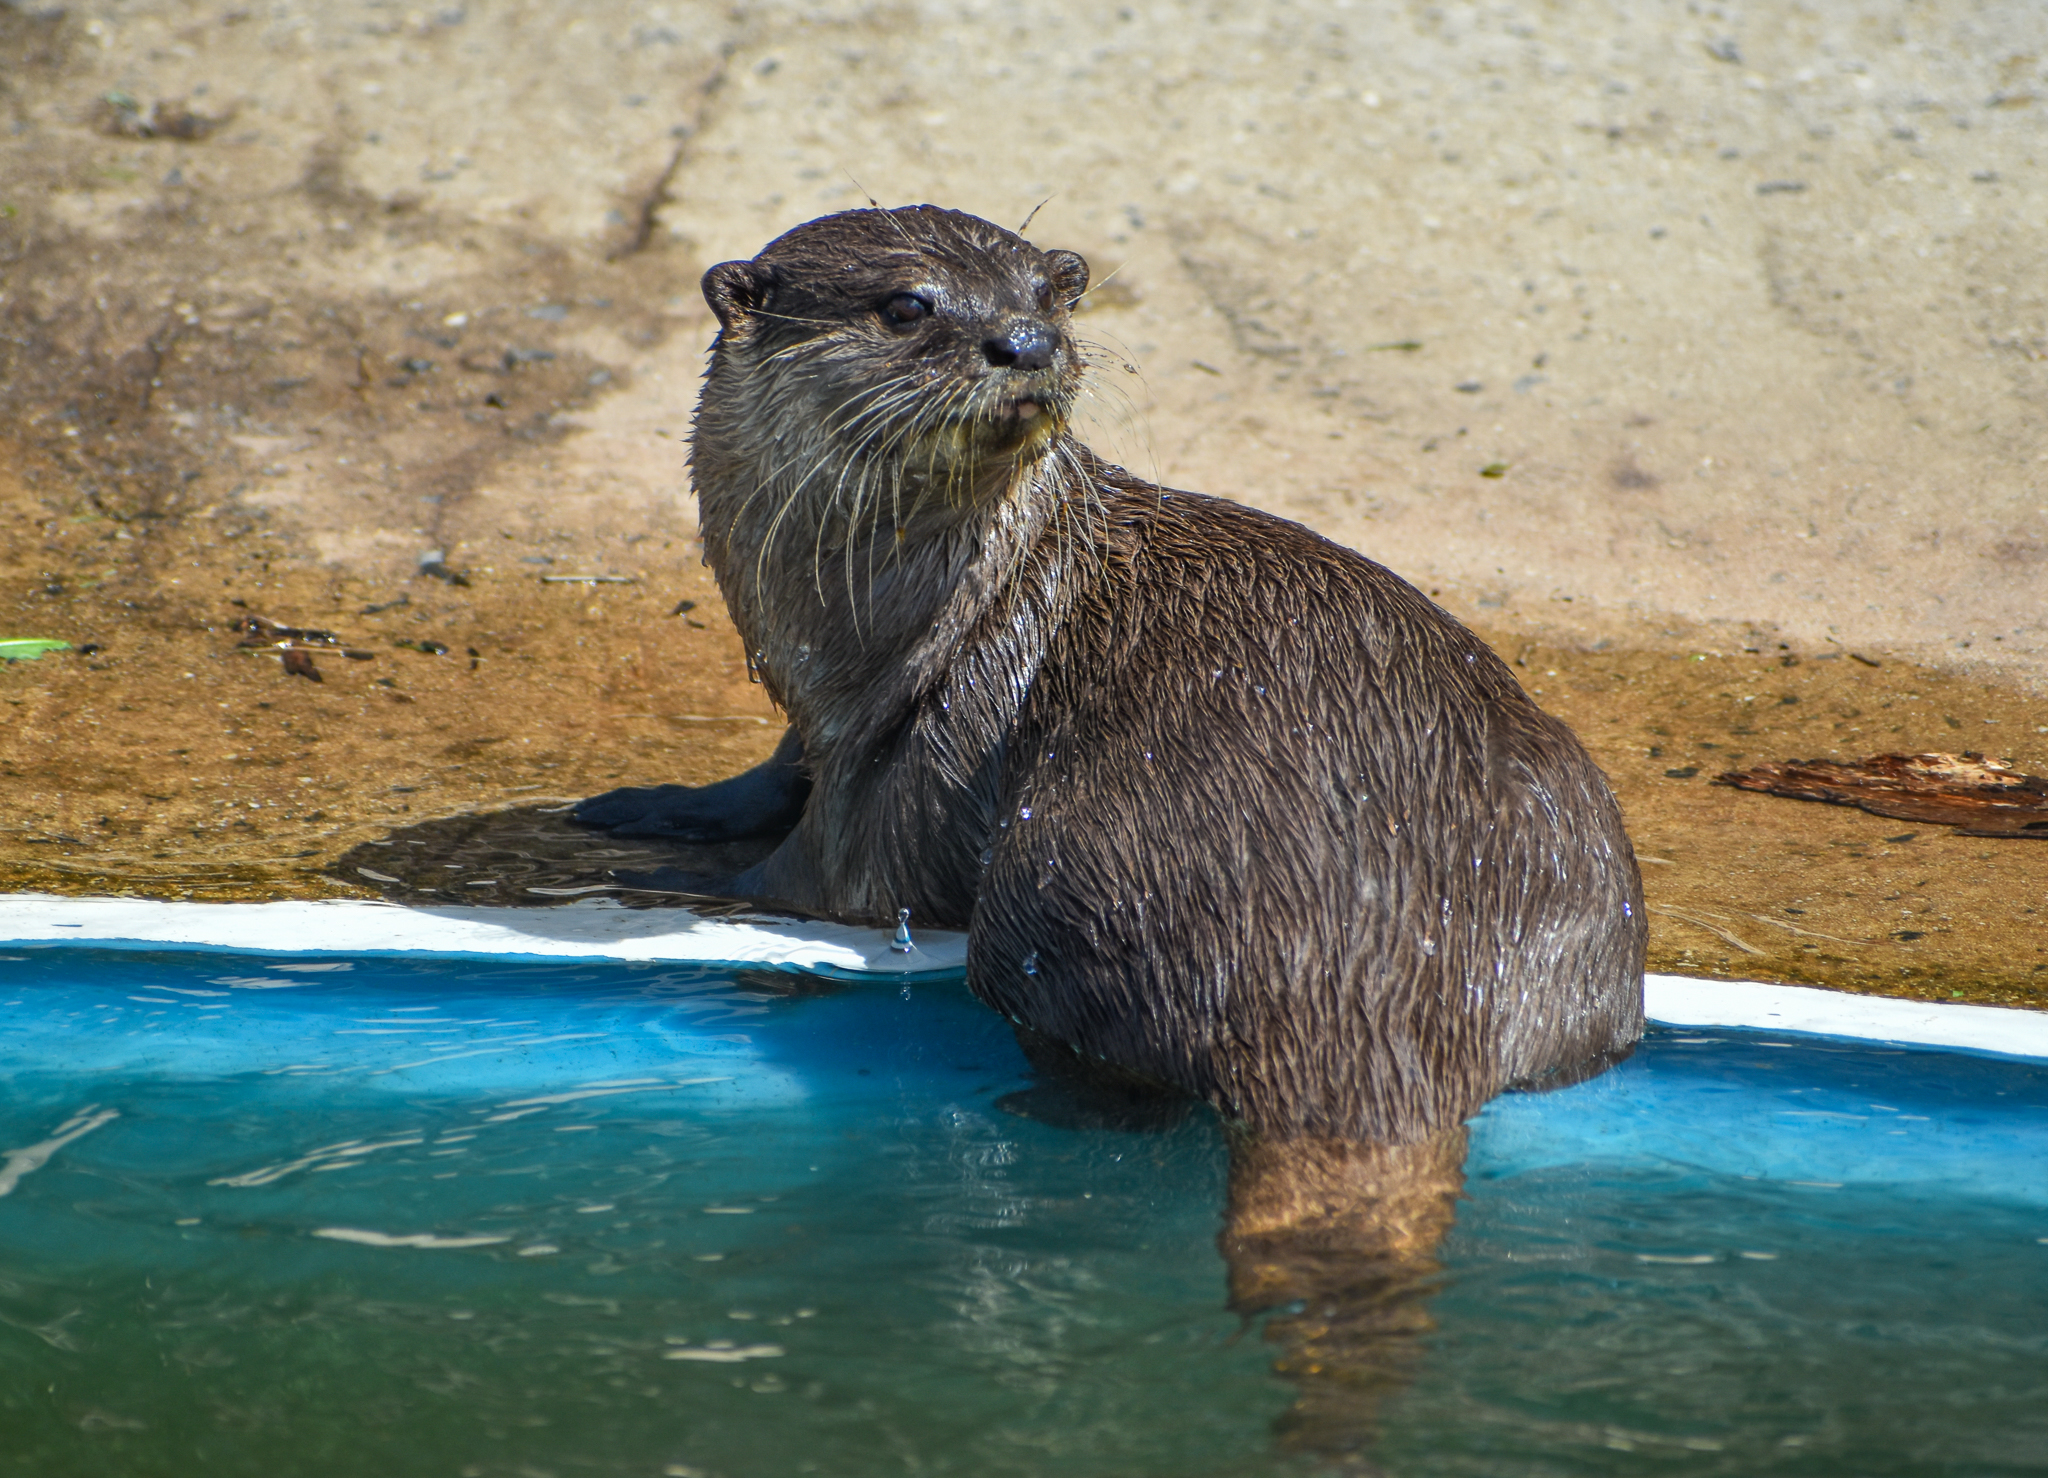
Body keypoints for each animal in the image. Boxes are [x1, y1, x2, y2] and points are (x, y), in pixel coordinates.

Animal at [575, 205, 1645, 1148]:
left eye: (1049, 295)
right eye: (908, 305)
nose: (1024, 341)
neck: (848, 640)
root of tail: (1371, 968)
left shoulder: (903, 780)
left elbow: (816, 883)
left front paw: (647, 881)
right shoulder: (814, 722)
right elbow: (764, 776)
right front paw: (640, 810)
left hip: (1070, 870)